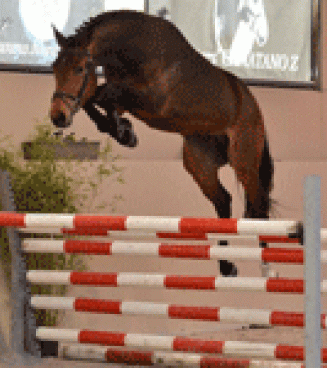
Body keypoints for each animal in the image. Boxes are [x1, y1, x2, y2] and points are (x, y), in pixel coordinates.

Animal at [49, 10, 274, 278]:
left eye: (79, 68)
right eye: (54, 68)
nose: (58, 116)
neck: (135, 50)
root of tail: (252, 105)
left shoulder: (151, 100)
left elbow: (100, 95)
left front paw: (123, 131)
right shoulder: (126, 100)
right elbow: (95, 101)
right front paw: (124, 132)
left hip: (244, 159)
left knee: (258, 205)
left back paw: (267, 265)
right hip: (199, 162)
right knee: (223, 201)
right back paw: (226, 265)